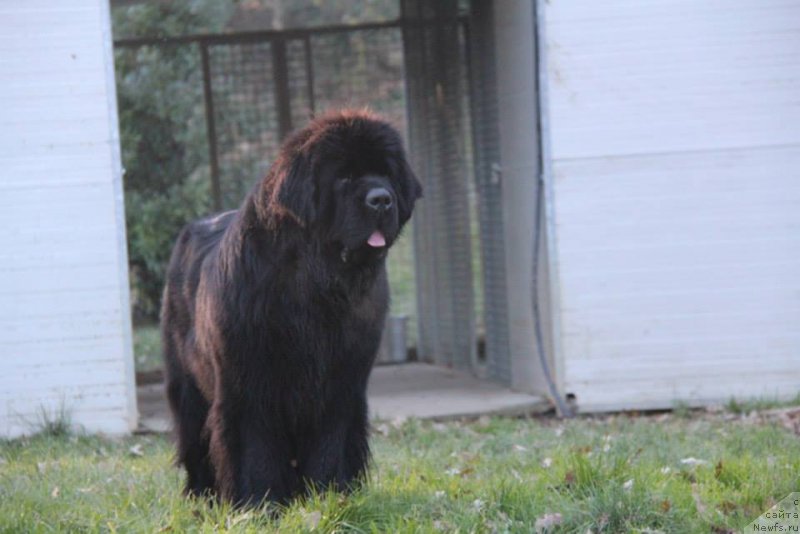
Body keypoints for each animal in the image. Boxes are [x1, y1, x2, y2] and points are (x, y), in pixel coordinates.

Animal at [164, 110, 424, 506]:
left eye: (386, 173)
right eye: (344, 177)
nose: (382, 199)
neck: (315, 289)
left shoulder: (340, 385)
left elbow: (331, 442)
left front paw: (329, 495)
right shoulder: (249, 384)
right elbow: (255, 446)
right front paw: (259, 503)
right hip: (188, 386)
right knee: (195, 440)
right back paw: (202, 496)